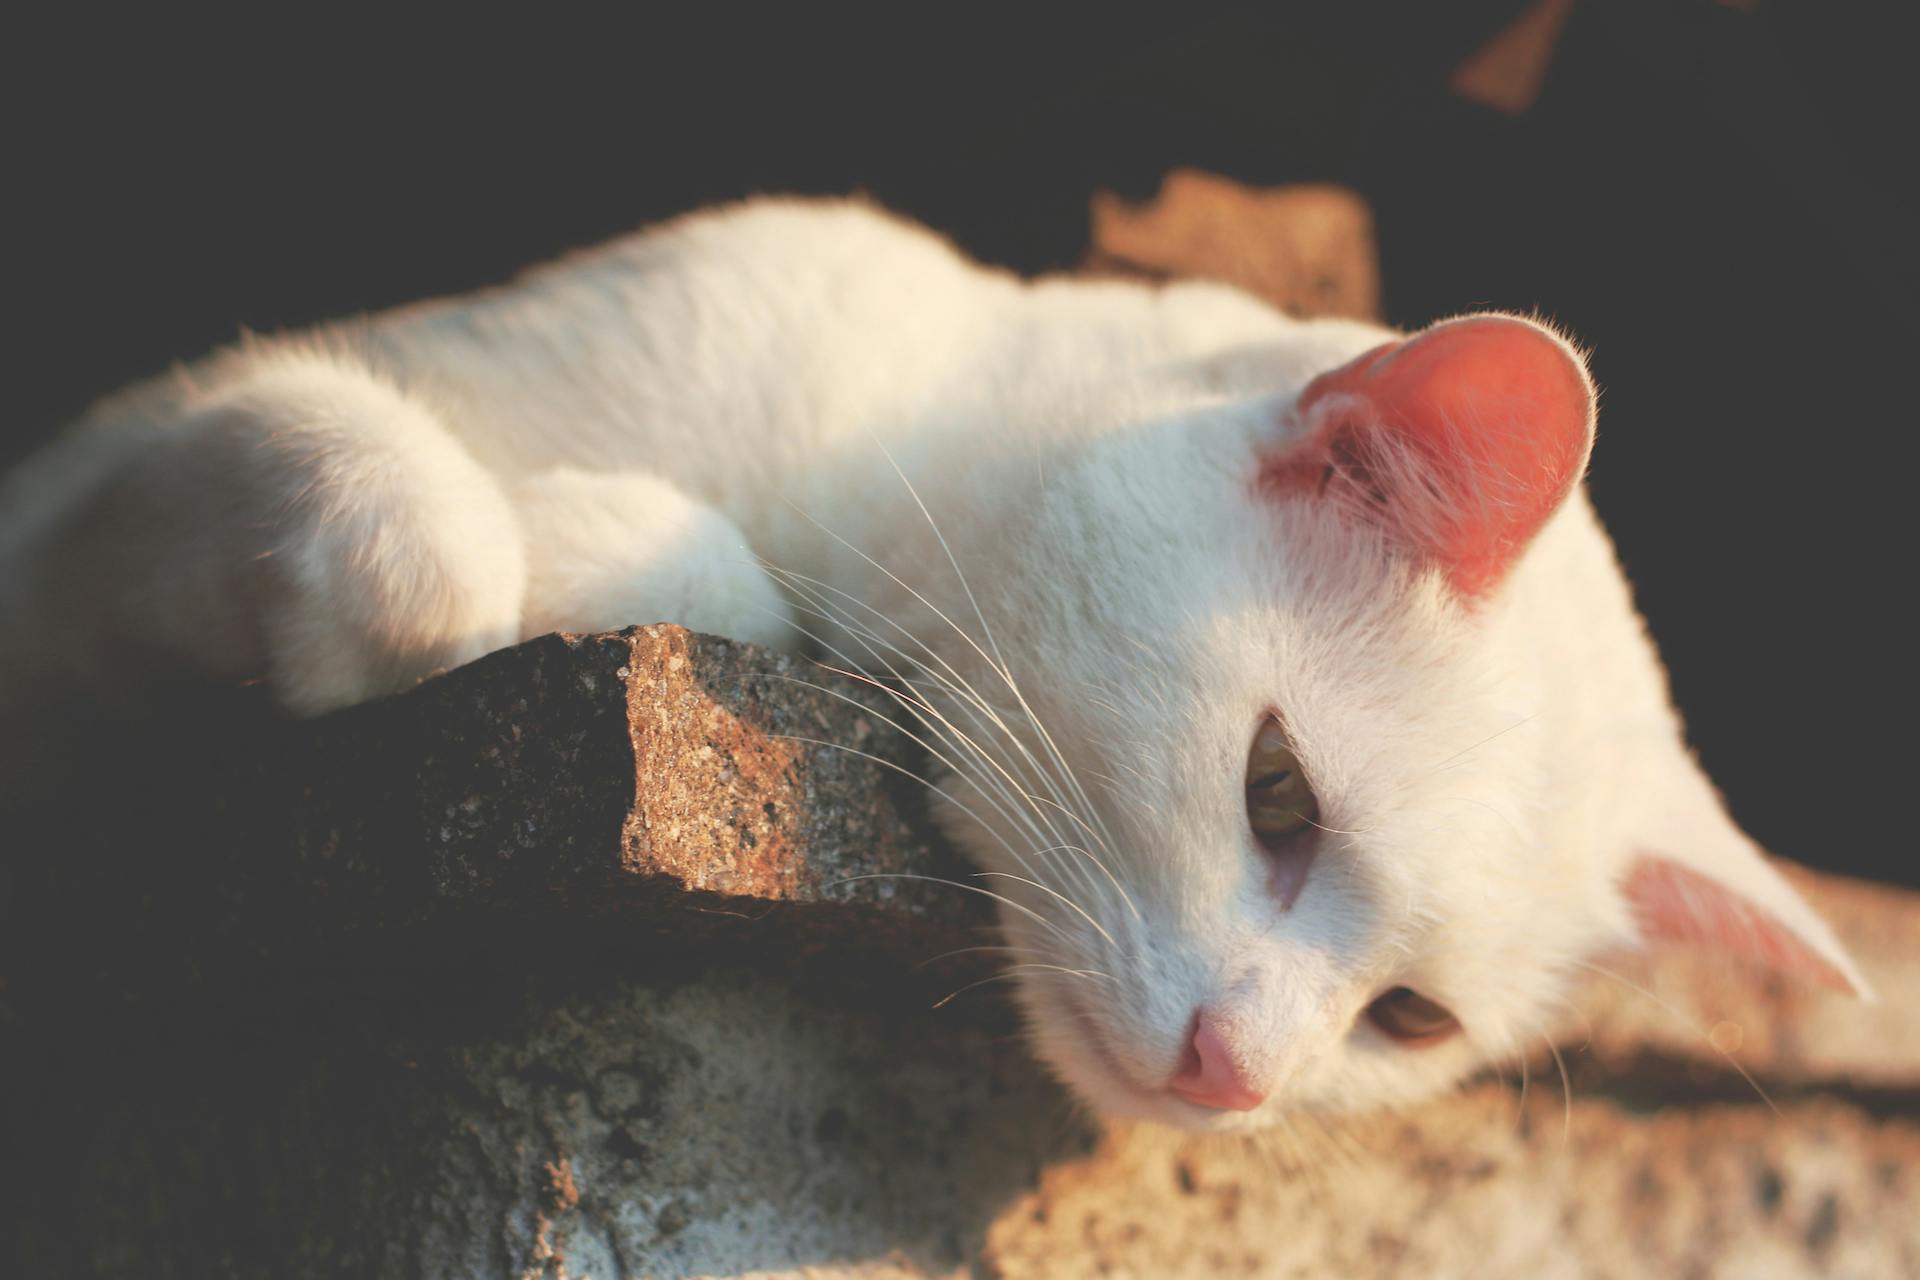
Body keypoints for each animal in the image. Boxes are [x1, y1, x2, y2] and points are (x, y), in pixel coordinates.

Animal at [0, 195, 1858, 1128]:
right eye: (1277, 797)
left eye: (1410, 1021)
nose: (1237, 1082)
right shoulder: (75, 487)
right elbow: (409, 525)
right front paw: (515, 545)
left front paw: (593, 534)